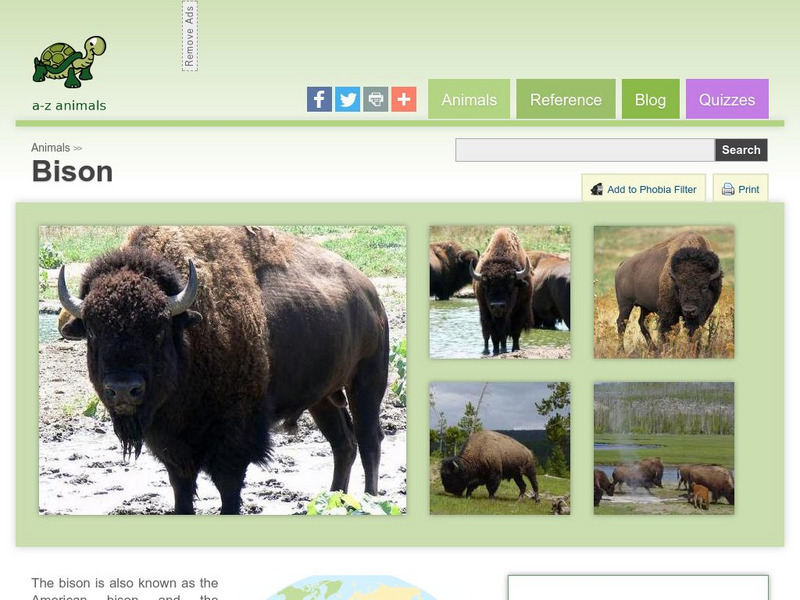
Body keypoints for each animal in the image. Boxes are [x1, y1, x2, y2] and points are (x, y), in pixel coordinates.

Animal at [58, 226, 390, 514]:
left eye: (159, 329)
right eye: (93, 331)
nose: (124, 389)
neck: (189, 335)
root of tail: (370, 293)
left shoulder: (233, 436)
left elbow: (228, 487)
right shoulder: (173, 446)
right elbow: (182, 489)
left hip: (366, 383)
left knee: (369, 440)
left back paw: (369, 502)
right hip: (323, 398)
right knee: (343, 444)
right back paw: (336, 500)